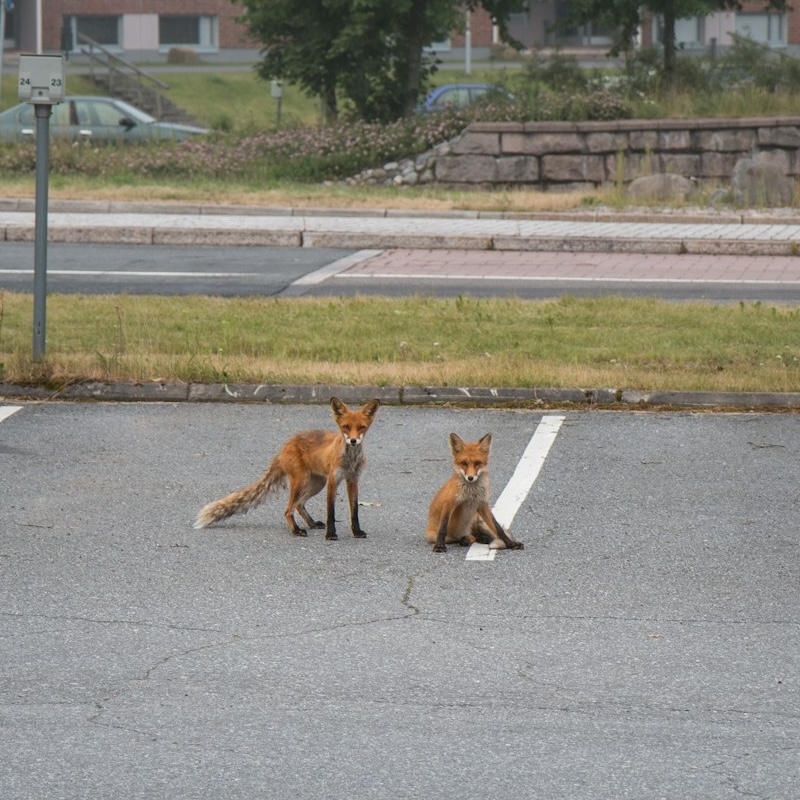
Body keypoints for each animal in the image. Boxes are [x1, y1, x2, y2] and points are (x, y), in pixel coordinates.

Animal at [193, 397, 380, 540]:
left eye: (361, 427)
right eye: (346, 427)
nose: (353, 441)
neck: (351, 460)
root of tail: (284, 446)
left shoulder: (353, 480)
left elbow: (354, 511)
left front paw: (356, 532)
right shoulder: (333, 481)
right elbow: (331, 513)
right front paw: (331, 534)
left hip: (316, 483)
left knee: (298, 505)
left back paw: (311, 524)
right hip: (302, 481)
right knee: (288, 510)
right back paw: (296, 530)